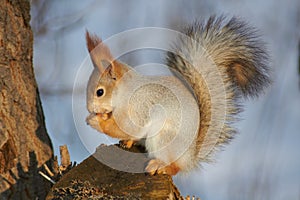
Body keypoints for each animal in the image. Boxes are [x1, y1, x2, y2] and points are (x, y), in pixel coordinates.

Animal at [85, 16, 272, 176]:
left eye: (100, 92)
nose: (90, 109)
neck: (125, 92)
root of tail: (189, 158)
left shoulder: (140, 106)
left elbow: (129, 127)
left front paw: (95, 121)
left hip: (164, 138)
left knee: (175, 168)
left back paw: (160, 166)